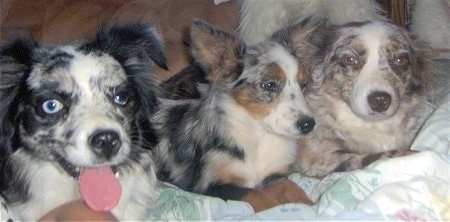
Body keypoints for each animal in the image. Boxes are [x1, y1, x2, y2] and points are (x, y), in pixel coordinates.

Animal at [153, 20, 322, 212]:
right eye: (269, 85)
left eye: (304, 84)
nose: (308, 124)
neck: (259, 135)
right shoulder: (209, 185)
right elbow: (257, 195)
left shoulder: (274, 175)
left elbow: (290, 186)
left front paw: (311, 206)